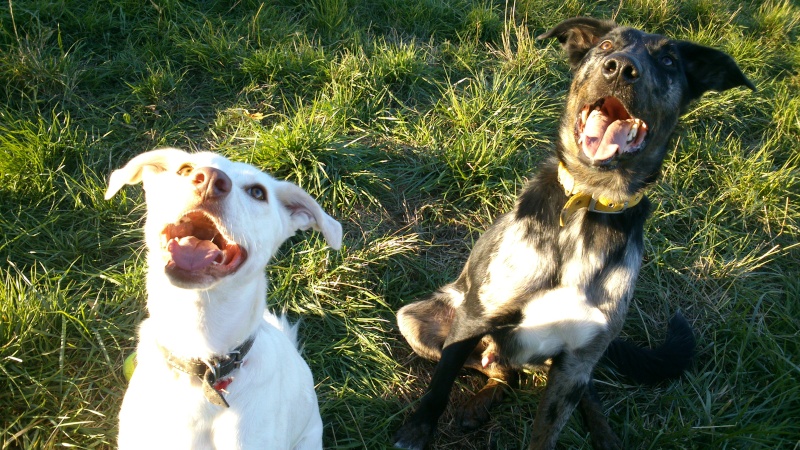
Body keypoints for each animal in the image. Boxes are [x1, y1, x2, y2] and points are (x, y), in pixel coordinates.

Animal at [396, 16, 752, 450]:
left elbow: (548, 431)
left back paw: (602, 436)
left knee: (569, 390)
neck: (589, 201)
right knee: (500, 372)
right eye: (605, 46)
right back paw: (479, 404)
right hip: (415, 320)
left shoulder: (576, 362)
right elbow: (438, 389)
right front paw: (415, 433)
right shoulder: (473, 320)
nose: (620, 68)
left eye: (668, 60)